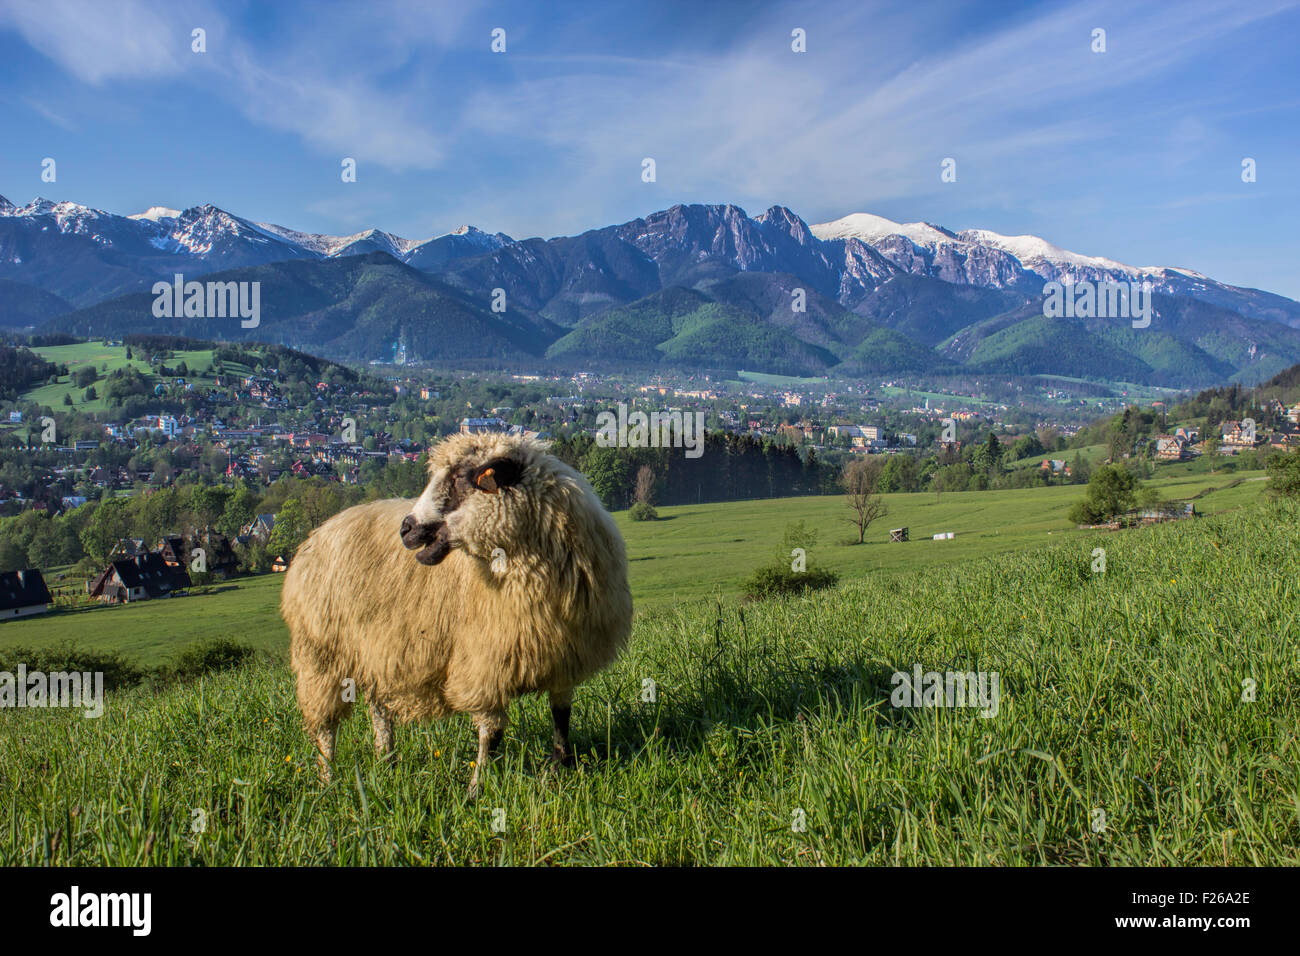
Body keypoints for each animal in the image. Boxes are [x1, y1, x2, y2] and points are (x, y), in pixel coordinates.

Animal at [280, 429, 634, 796]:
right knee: (325, 728)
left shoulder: (564, 658)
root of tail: (316, 533)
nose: (406, 529)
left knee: (379, 710)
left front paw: (560, 766)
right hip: (321, 655)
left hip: (377, 652)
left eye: (461, 478)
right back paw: (327, 778)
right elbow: (492, 732)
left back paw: (386, 761)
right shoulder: (484, 663)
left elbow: (561, 715)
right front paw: (478, 788)